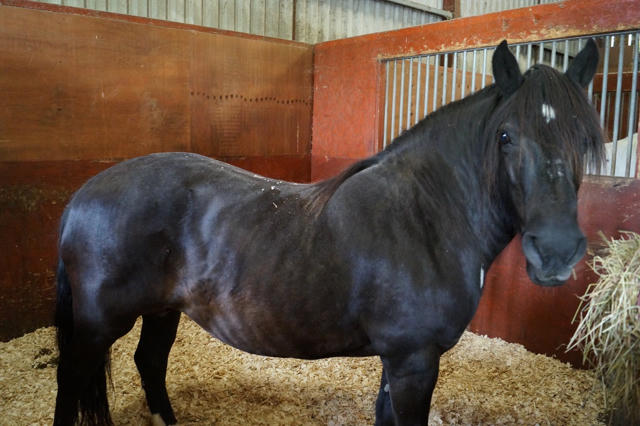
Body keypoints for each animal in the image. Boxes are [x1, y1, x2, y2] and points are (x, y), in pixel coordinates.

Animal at [53, 39, 603, 425]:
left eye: (584, 138)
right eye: (506, 136)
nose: (555, 252)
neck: (426, 216)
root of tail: (82, 194)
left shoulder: (398, 359)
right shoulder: (414, 361)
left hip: (163, 309)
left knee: (149, 362)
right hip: (100, 323)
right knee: (71, 378)